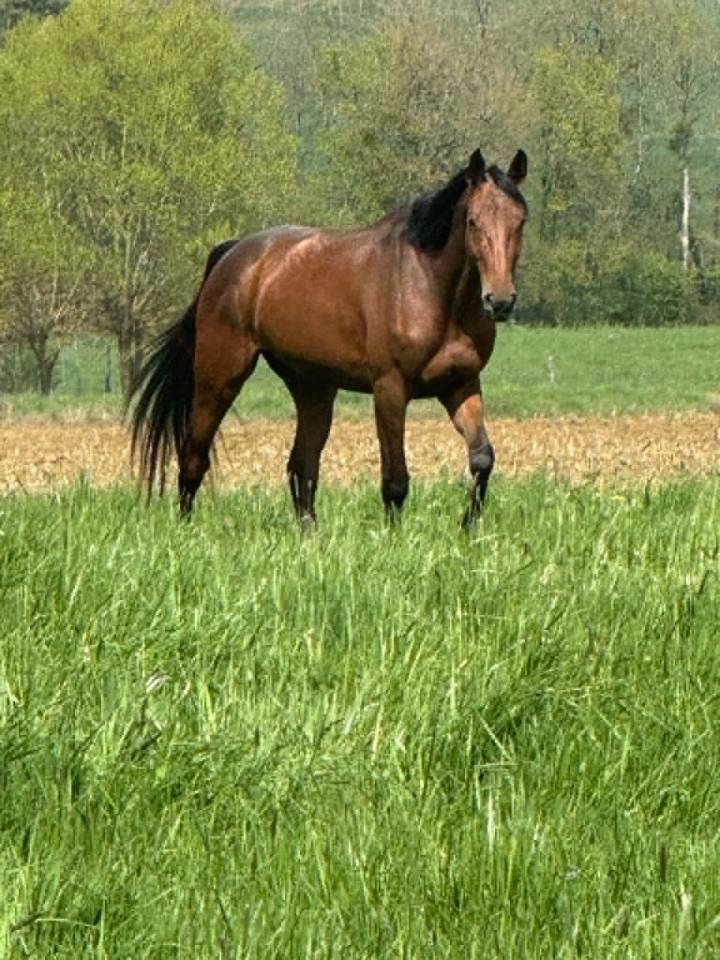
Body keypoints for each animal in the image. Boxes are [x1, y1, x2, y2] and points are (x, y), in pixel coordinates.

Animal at [129, 148, 528, 527]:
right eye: (473, 221)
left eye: (520, 221)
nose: (499, 301)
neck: (430, 286)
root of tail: (232, 254)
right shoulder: (390, 388)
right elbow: (395, 479)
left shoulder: (461, 384)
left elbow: (482, 459)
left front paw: (468, 527)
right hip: (220, 378)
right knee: (194, 456)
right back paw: (186, 528)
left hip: (313, 388)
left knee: (301, 466)